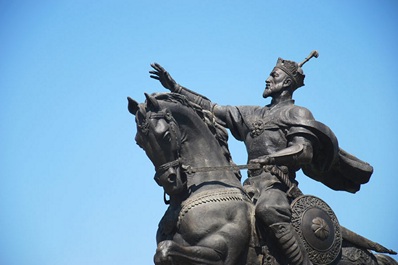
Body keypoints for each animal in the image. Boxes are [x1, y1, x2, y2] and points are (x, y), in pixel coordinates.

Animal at [128, 92, 398, 264]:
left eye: (165, 136)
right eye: (139, 142)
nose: (171, 180)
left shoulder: (223, 253)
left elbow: (165, 250)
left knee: (271, 214)